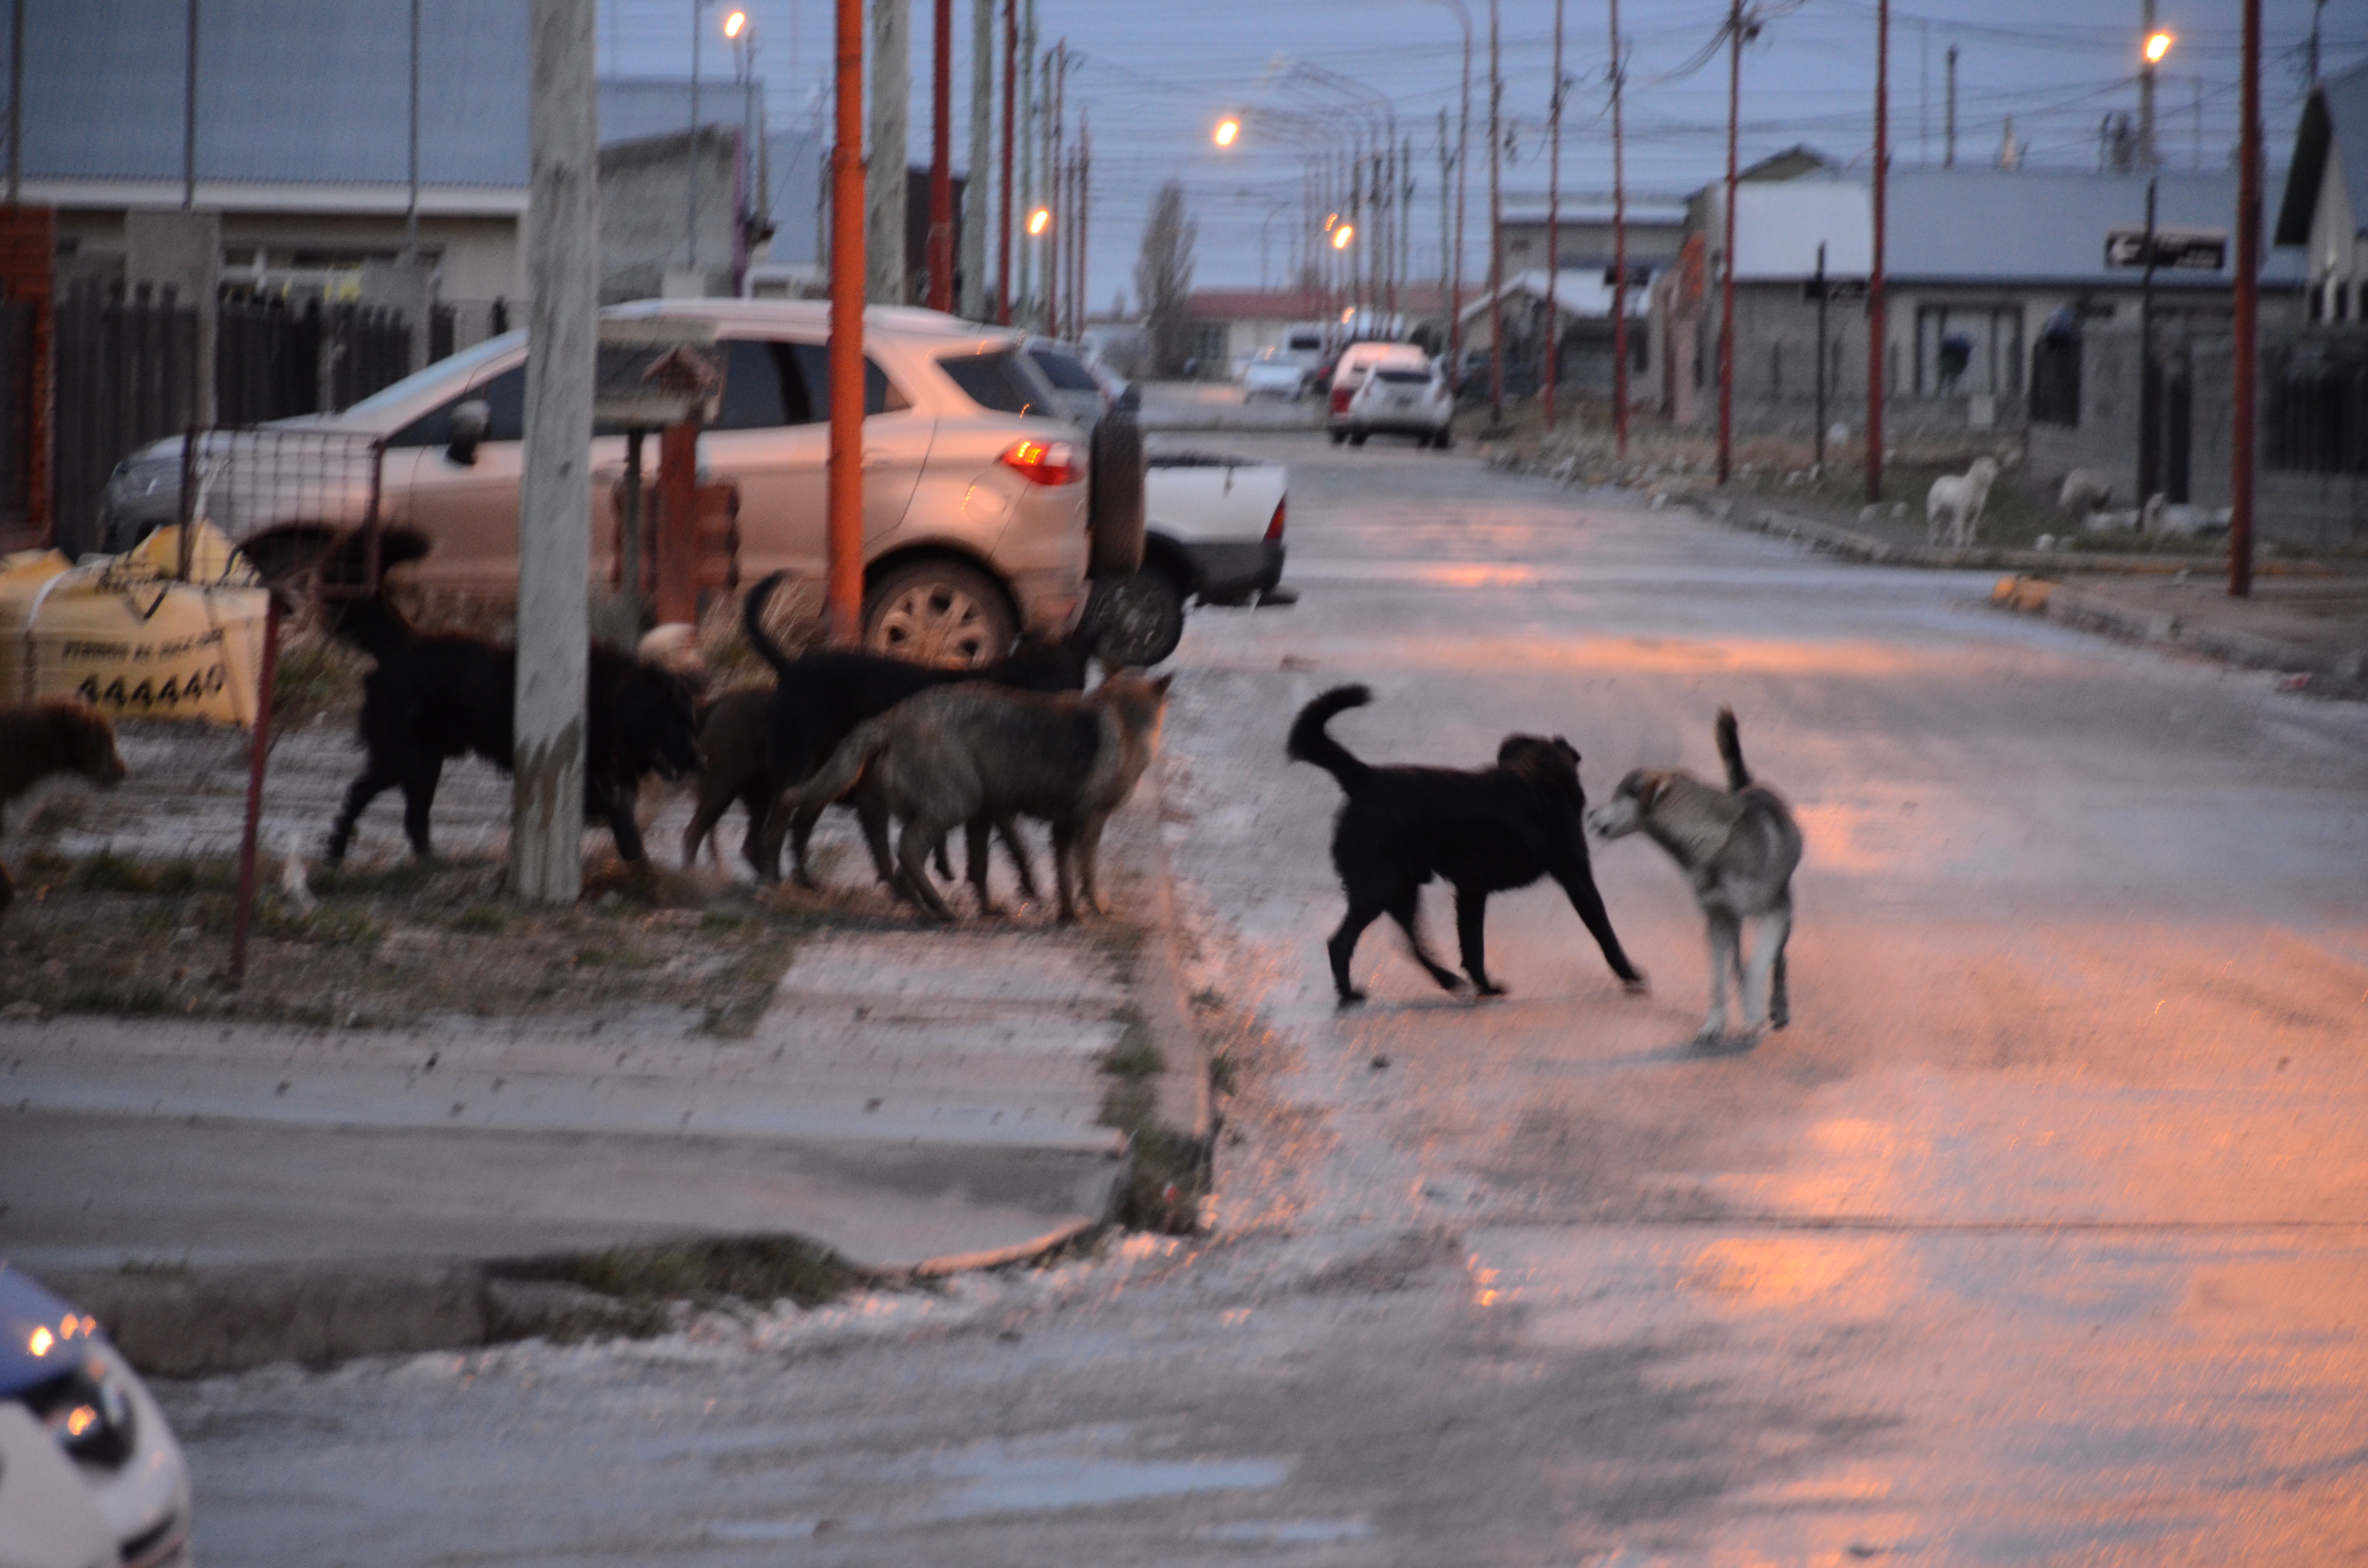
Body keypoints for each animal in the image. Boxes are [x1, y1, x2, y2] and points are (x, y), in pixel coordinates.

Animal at [305, 530, 696, 871]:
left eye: (691, 723)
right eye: (673, 724)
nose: (699, 764)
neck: (611, 700)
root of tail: (404, 643)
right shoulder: (584, 778)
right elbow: (620, 816)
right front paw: (640, 862)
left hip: (413, 759)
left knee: (379, 800)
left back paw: (374, 858)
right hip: (411, 757)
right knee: (389, 804)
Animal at [734, 576, 1094, 895]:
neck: (1016, 680)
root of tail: (791, 668)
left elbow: (1006, 843)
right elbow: (1009, 842)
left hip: (831, 774)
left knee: (799, 827)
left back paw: (806, 883)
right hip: (798, 765)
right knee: (776, 828)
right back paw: (772, 880)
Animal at [1288, 686, 1639, 1009]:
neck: (1540, 777)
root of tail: (1364, 778)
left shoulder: (1472, 891)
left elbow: (1473, 946)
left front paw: (1485, 986)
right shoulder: (1577, 877)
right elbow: (1605, 932)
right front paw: (1631, 974)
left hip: (1401, 888)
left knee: (1410, 941)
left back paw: (1448, 981)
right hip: (1378, 887)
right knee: (1343, 942)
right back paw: (1351, 994)